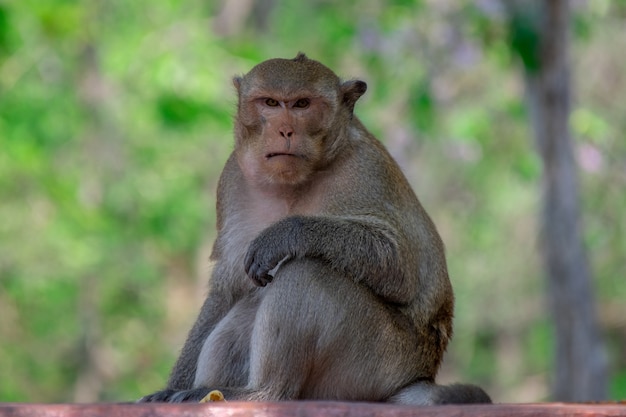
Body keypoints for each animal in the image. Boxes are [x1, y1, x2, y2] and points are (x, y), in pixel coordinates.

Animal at [138, 52, 492, 404]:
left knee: (307, 271)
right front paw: (170, 388)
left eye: (302, 104)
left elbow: (401, 266)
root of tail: (417, 375)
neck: (294, 183)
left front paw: (286, 234)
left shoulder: (367, 170)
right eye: (270, 103)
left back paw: (263, 392)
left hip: (379, 359)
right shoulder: (233, 179)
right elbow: (227, 289)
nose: (285, 130)